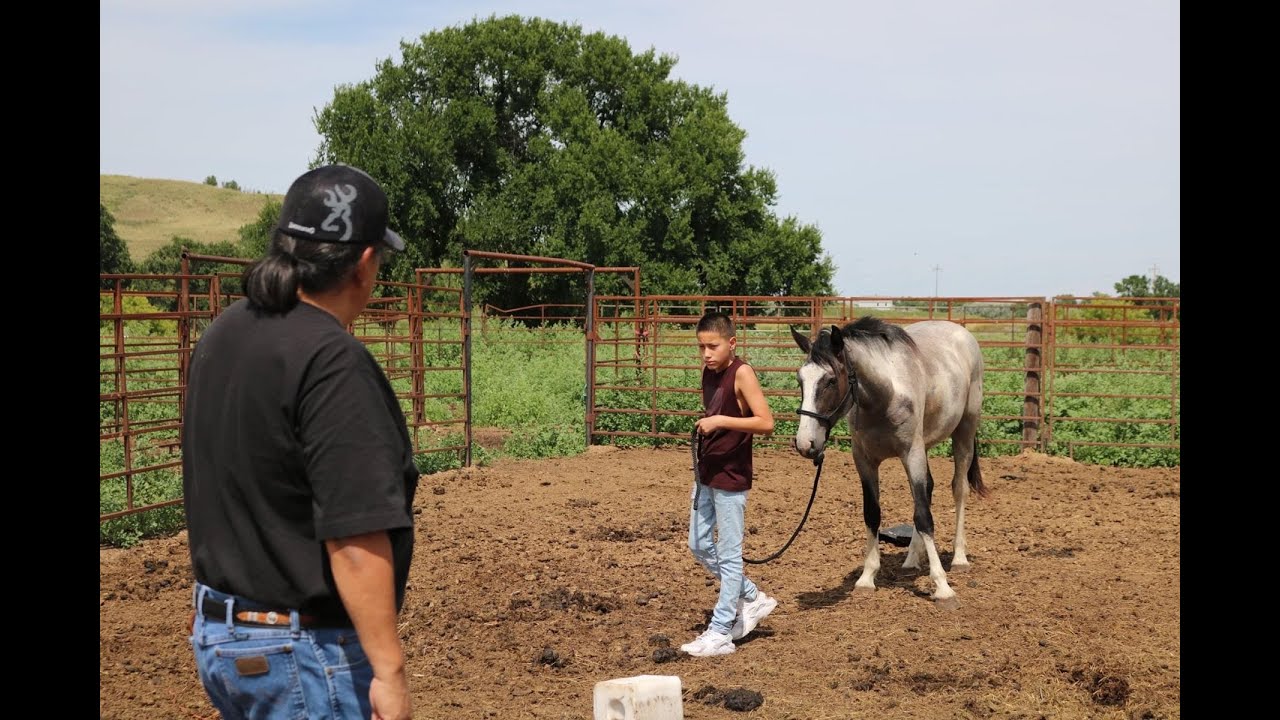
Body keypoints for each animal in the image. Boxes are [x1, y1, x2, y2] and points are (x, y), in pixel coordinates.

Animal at [790, 316, 987, 609]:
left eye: (830, 380)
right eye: (800, 380)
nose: (806, 443)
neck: (885, 395)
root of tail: (960, 331)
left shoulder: (912, 454)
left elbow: (924, 516)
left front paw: (942, 587)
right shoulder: (864, 461)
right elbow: (873, 513)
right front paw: (867, 577)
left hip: (964, 431)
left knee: (958, 489)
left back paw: (959, 558)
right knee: (927, 491)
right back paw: (911, 560)